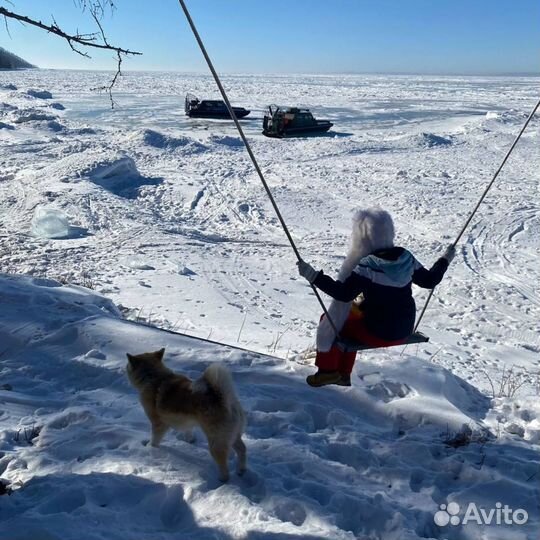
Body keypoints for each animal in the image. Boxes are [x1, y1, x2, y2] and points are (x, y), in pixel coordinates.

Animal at [126, 348, 247, 484]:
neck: (153, 377)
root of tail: (223, 399)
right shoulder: (187, 421)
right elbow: (188, 431)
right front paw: (190, 440)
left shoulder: (158, 424)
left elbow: (155, 439)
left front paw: (151, 449)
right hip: (233, 435)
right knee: (242, 449)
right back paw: (241, 470)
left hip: (216, 441)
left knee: (223, 465)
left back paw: (222, 479)